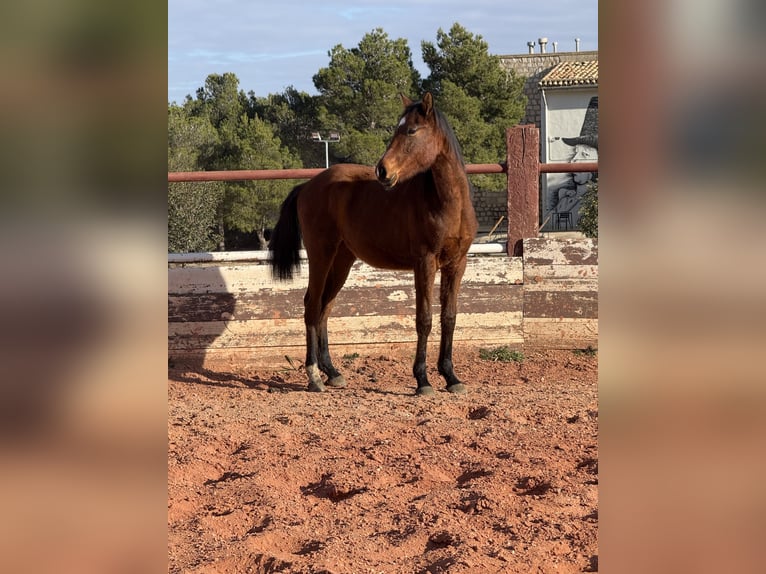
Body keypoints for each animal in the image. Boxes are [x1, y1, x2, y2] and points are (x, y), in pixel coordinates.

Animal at [268, 92, 478, 395]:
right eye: (396, 130)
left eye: (411, 130)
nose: (382, 170)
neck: (448, 204)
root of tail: (307, 186)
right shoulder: (424, 264)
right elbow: (424, 319)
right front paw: (422, 380)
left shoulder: (456, 264)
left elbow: (449, 317)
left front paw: (451, 377)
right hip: (321, 255)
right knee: (311, 305)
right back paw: (314, 376)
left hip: (342, 261)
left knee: (324, 308)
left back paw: (332, 372)